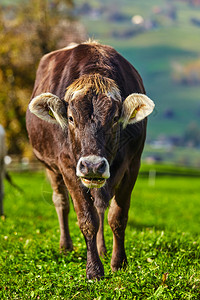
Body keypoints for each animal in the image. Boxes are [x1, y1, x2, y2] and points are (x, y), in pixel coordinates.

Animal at [26, 41, 155, 280]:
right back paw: (66, 246)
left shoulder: (133, 164)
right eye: (70, 118)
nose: (93, 165)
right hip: (51, 168)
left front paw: (118, 262)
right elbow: (87, 219)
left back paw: (102, 249)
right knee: (61, 202)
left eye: (115, 118)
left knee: (100, 206)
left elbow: (117, 216)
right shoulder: (67, 166)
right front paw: (94, 270)